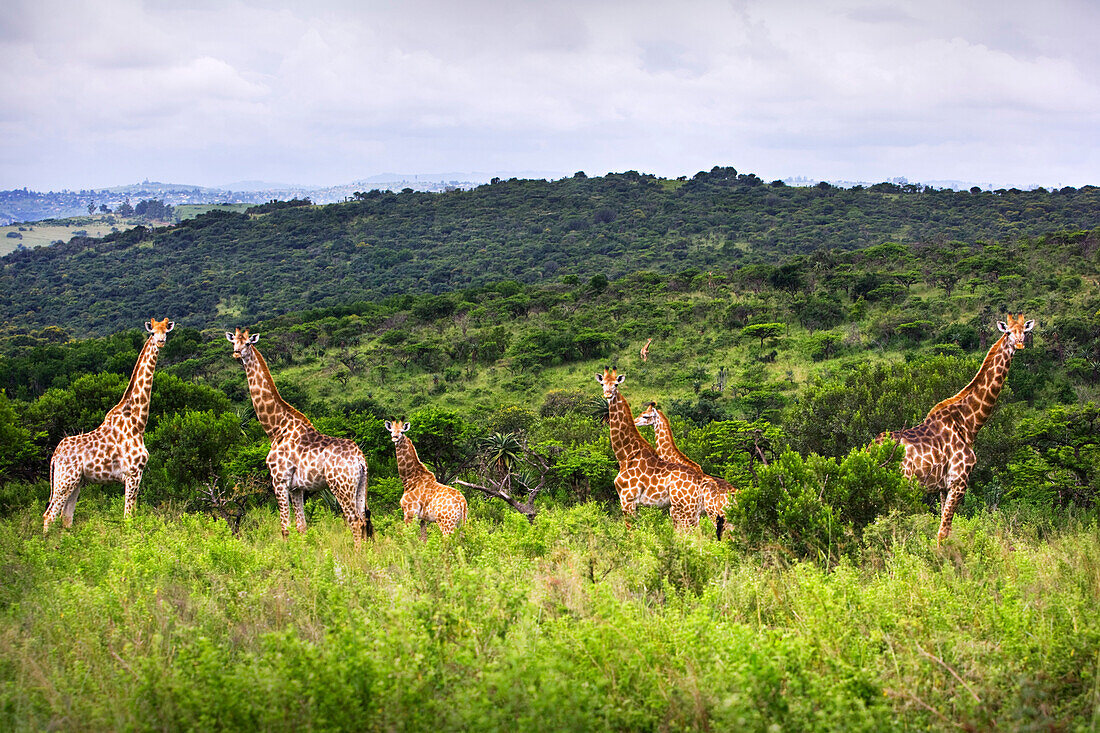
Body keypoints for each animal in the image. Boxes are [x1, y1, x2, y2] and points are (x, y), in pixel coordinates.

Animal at [44, 314, 173, 530]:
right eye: (153, 332)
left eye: (166, 331)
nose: (161, 341)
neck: (138, 422)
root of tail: (54, 457)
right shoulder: (133, 473)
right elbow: (128, 516)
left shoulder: (134, 475)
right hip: (65, 480)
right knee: (49, 516)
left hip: (76, 482)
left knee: (66, 517)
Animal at [227, 327, 374, 545]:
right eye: (233, 342)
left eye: (247, 343)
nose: (236, 354)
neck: (276, 428)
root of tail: (360, 459)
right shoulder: (297, 488)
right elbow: (301, 527)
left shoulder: (279, 480)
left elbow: (285, 528)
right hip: (360, 485)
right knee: (364, 519)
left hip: (340, 485)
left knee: (354, 521)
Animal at [594, 365, 704, 530]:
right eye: (602, 384)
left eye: (616, 384)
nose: (607, 394)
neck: (625, 455)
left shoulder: (627, 499)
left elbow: (630, 531)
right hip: (690, 509)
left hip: (683, 508)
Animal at [880, 310, 1034, 539]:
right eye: (1008, 332)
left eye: (1025, 331)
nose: (1020, 344)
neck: (968, 424)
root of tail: (871, 448)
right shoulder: (959, 481)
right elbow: (943, 532)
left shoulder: (943, 487)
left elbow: (943, 527)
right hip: (902, 484)